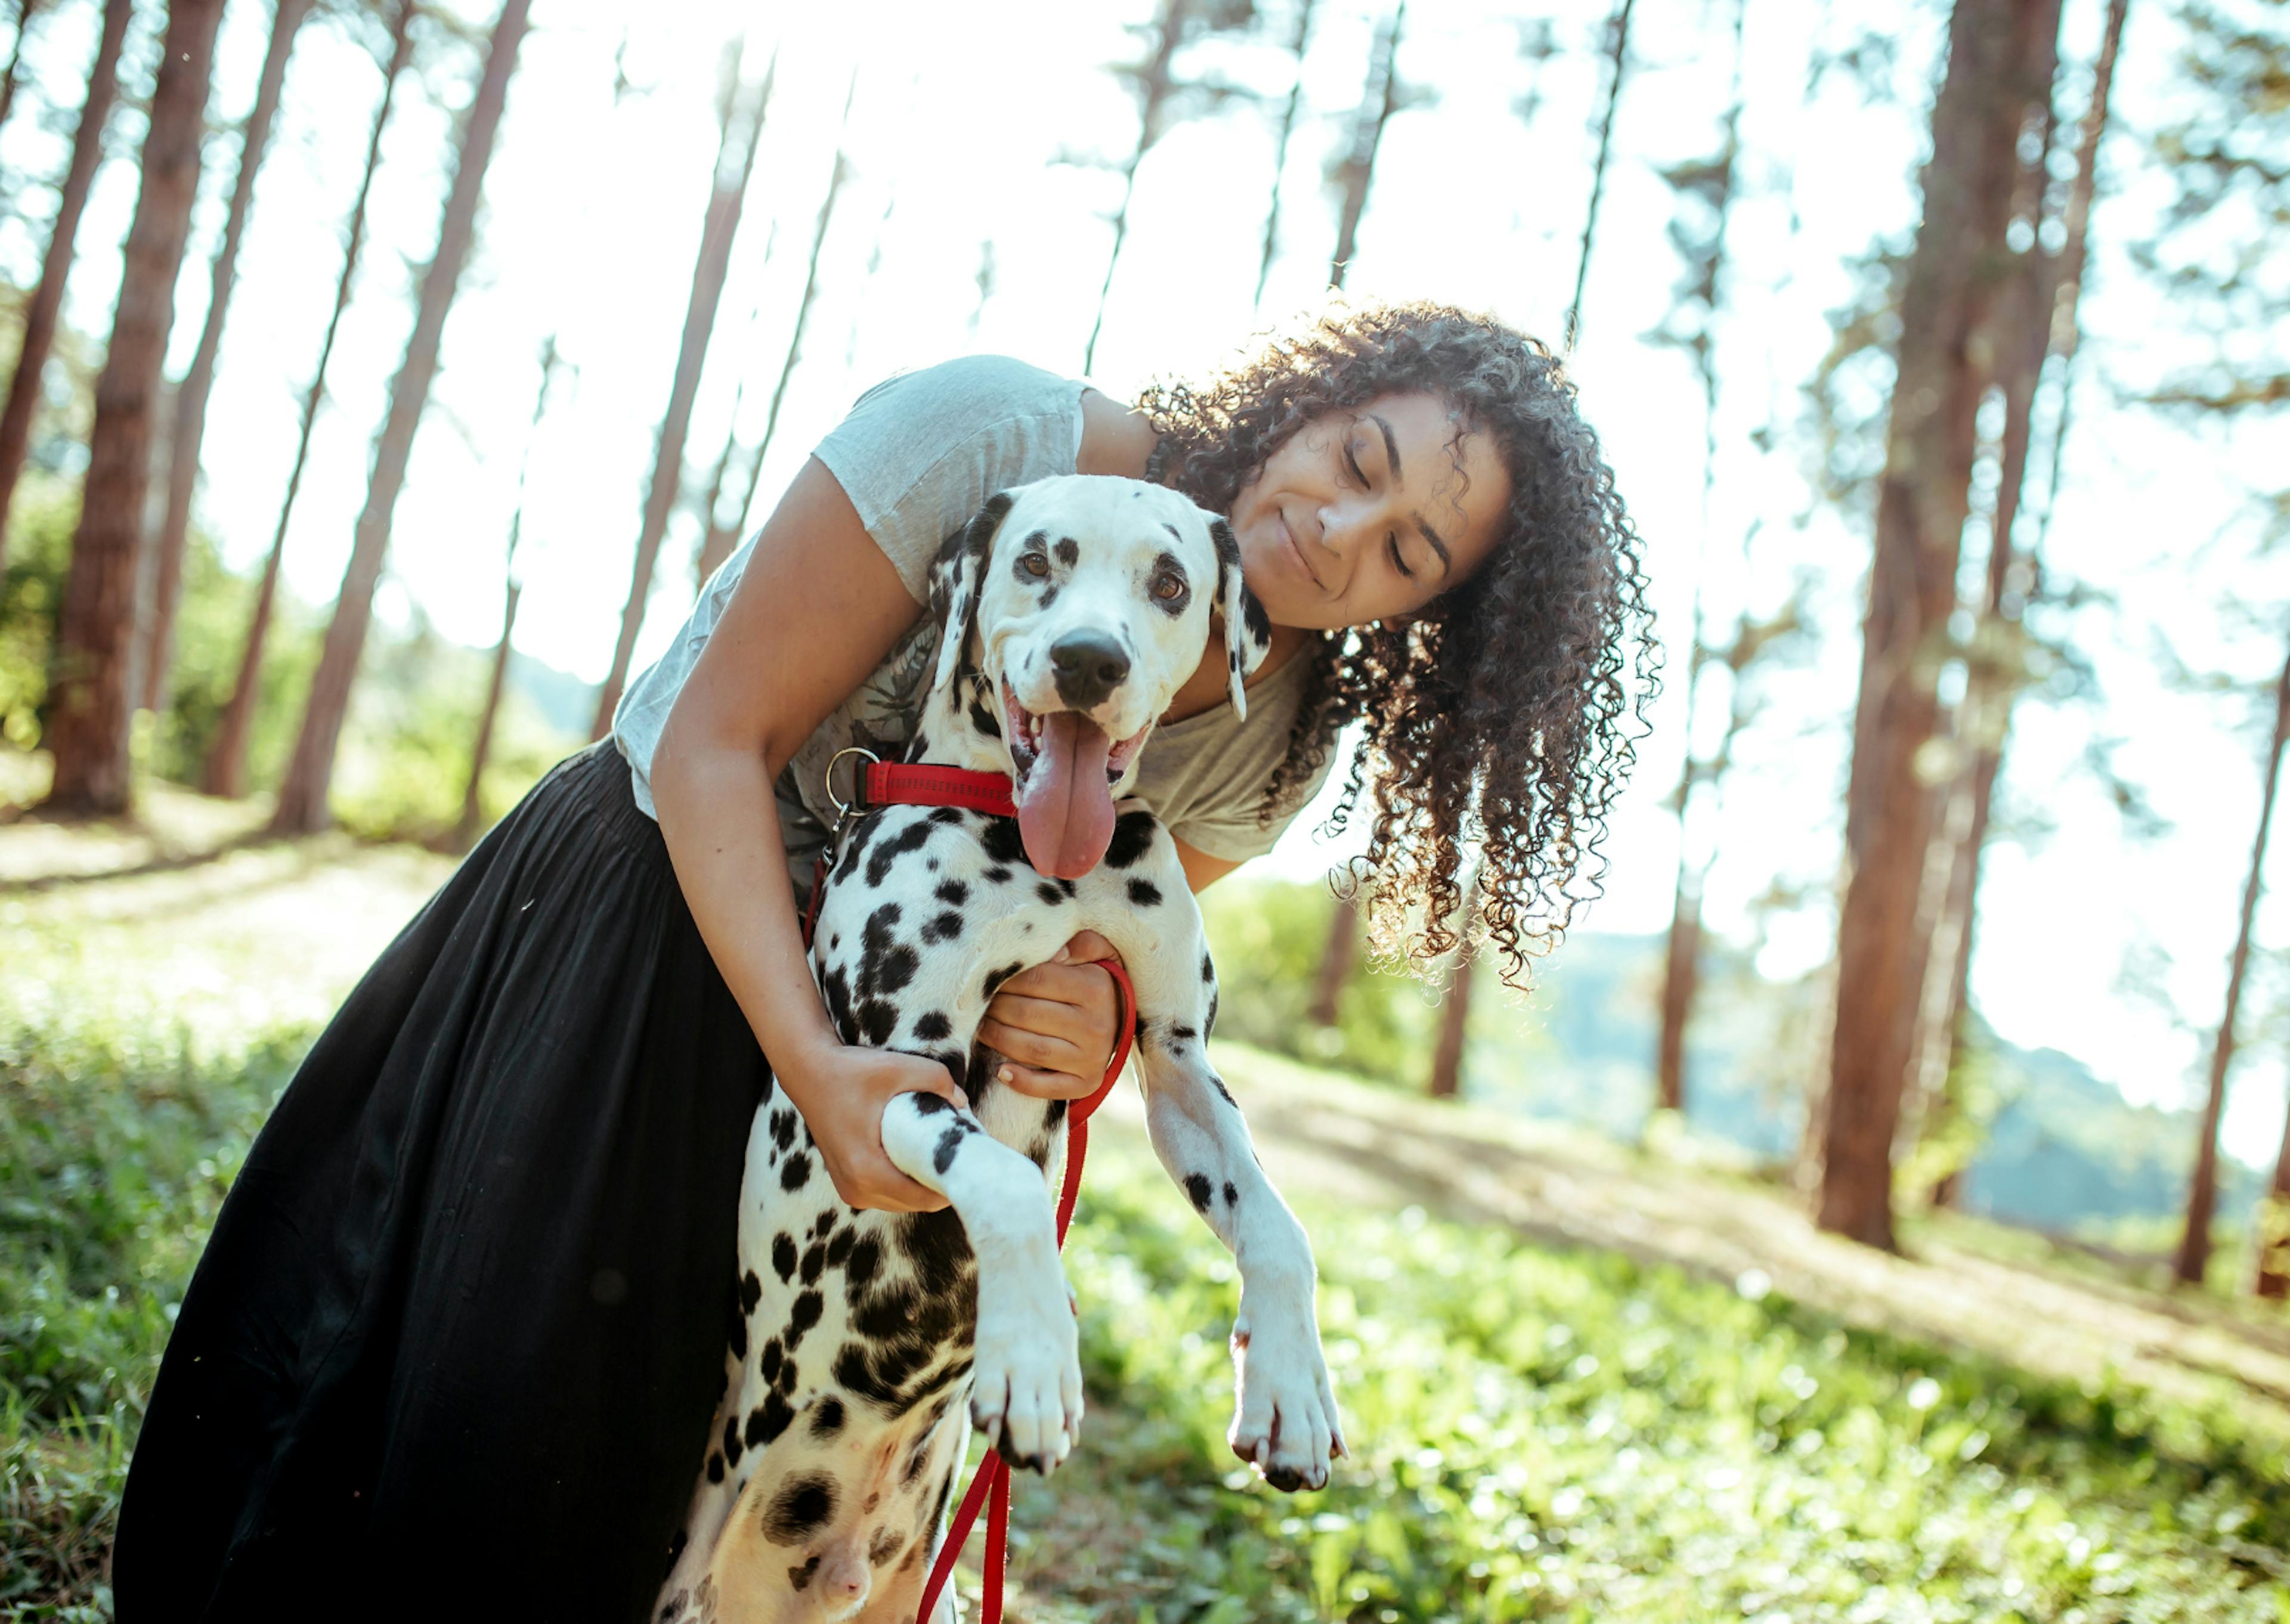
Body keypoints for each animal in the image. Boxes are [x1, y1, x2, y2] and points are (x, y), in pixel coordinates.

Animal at [655, 474, 1337, 1612]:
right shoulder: (892, 1074)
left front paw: (1291, 1384)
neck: (1041, 851)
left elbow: (1281, 1228)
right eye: (1035, 561)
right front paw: (1035, 1355)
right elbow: (1010, 1185)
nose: (1089, 661)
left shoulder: (1181, 1067)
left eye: (1169, 582)